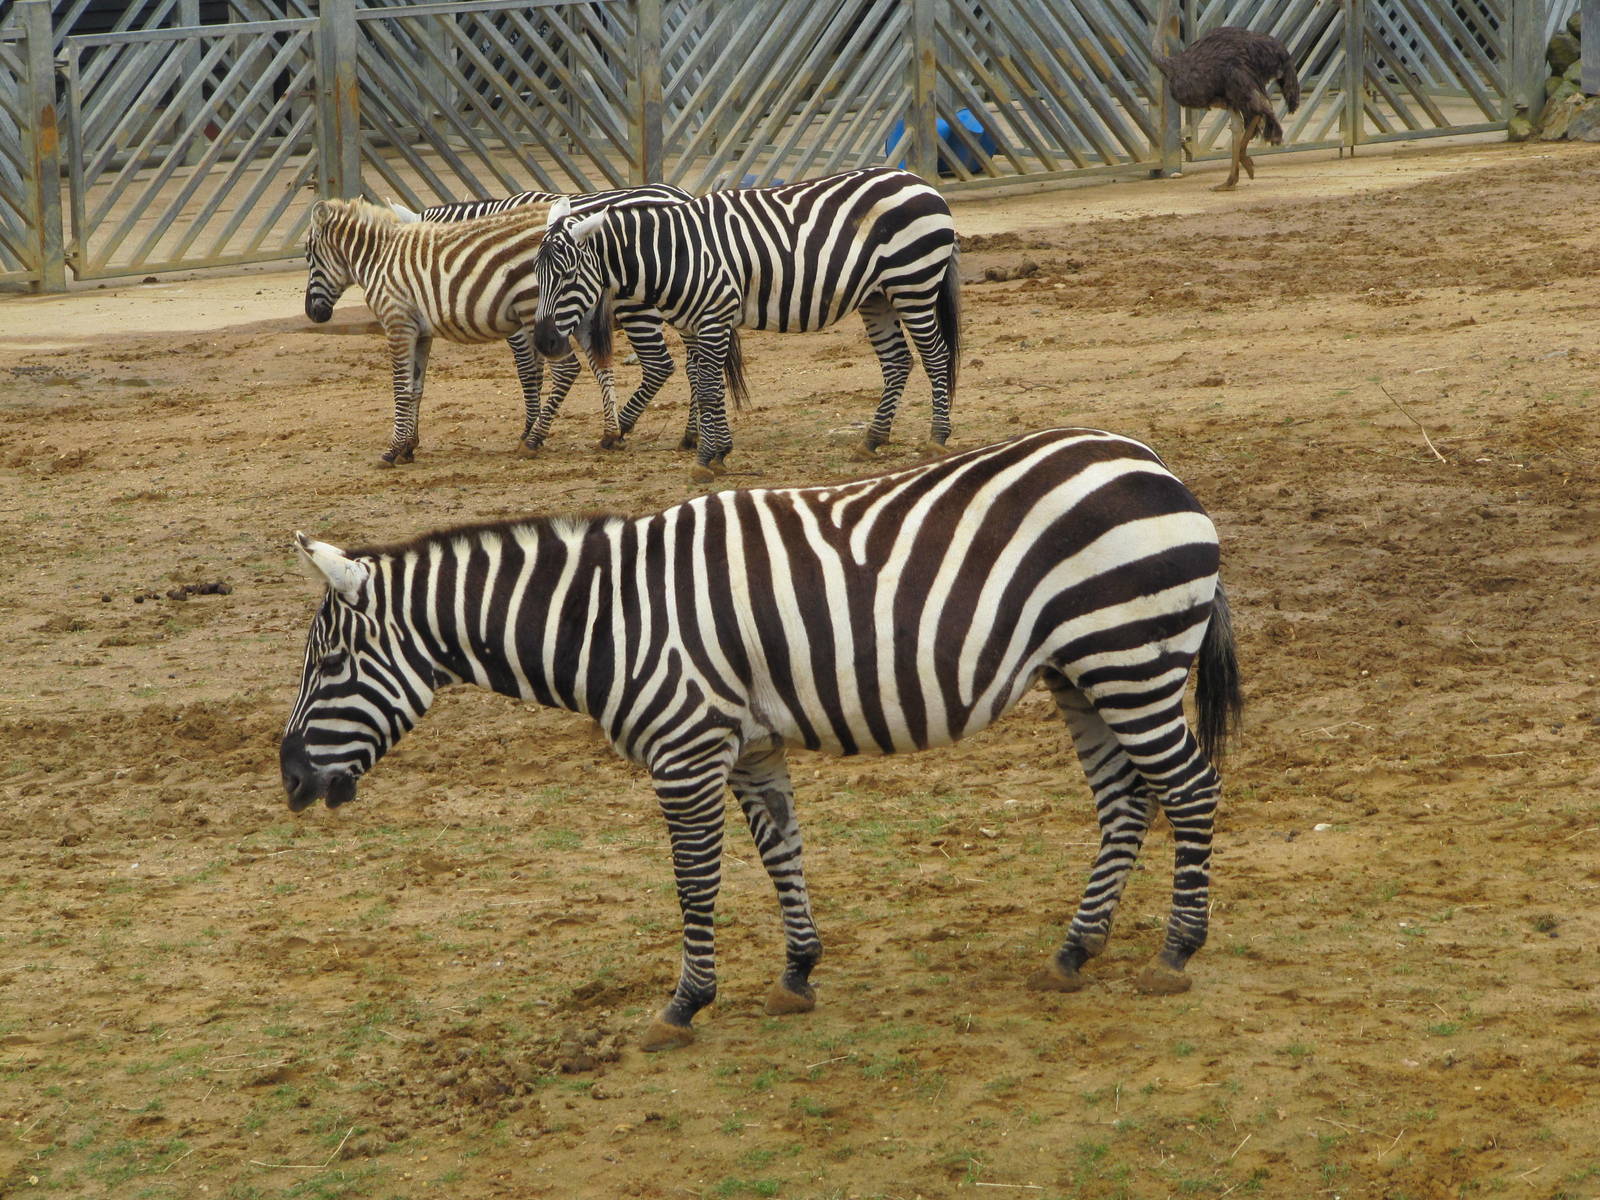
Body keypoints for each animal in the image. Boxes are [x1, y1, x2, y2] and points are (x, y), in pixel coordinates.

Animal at [280, 427, 1241, 1050]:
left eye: (327, 664)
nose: (288, 782)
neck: (609, 618)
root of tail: (1154, 463)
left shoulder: (685, 748)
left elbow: (695, 879)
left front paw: (684, 1005)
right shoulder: (746, 743)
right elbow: (782, 849)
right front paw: (797, 973)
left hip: (1129, 656)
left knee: (1190, 788)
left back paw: (1176, 953)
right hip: (1083, 672)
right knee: (1126, 801)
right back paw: (1075, 951)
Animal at [388, 185, 697, 450]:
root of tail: (680, 195)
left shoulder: (517, 322)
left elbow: (527, 371)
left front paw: (530, 429)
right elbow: (536, 371)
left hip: (637, 309)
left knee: (659, 366)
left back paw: (624, 426)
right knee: (693, 365)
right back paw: (689, 435)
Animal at [526, 166, 961, 479]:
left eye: (567, 276)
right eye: (537, 274)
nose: (545, 343)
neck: (675, 253)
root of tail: (920, 181)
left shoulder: (714, 317)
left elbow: (708, 388)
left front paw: (705, 459)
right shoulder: (695, 324)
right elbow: (706, 385)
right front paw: (719, 451)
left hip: (914, 283)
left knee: (936, 355)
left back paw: (937, 438)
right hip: (877, 297)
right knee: (898, 361)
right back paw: (872, 439)